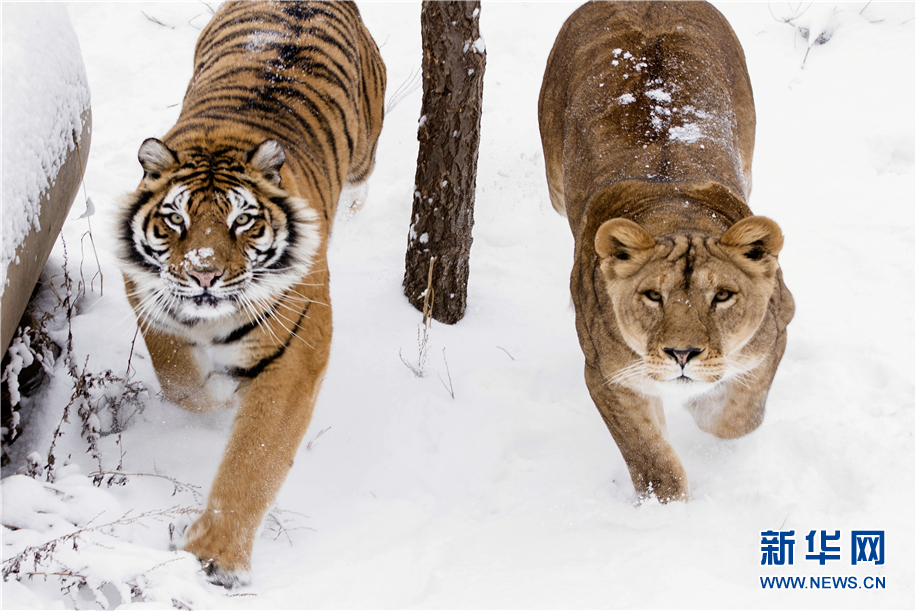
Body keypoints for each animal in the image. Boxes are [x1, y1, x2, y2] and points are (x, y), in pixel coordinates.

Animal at [116, 0, 384, 588]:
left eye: (243, 221)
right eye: (176, 219)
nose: (203, 275)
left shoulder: (295, 354)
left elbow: (253, 461)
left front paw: (216, 561)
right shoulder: (147, 301)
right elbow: (179, 381)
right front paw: (216, 394)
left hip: (365, 145)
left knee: (364, 175)